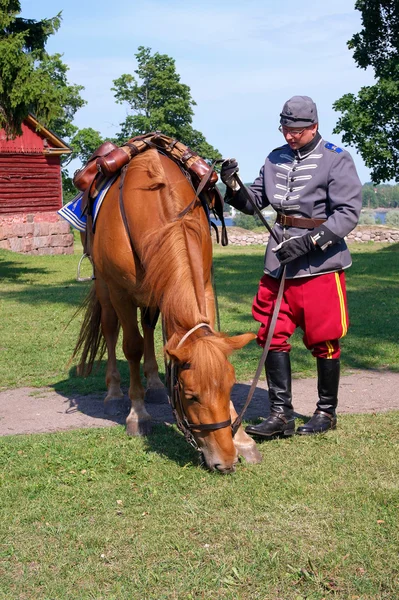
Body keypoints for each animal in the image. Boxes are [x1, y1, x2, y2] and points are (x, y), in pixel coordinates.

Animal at [74, 150, 262, 474]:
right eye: (191, 396)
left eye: (229, 388)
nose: (226, 461)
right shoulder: (121, 293)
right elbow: (131, 347)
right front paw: (138, 414)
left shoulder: (204, 283)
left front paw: (243, 440)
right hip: (104, 287)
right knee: (111, 331)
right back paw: (114, 393)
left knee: (149, 328)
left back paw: (154, 384)